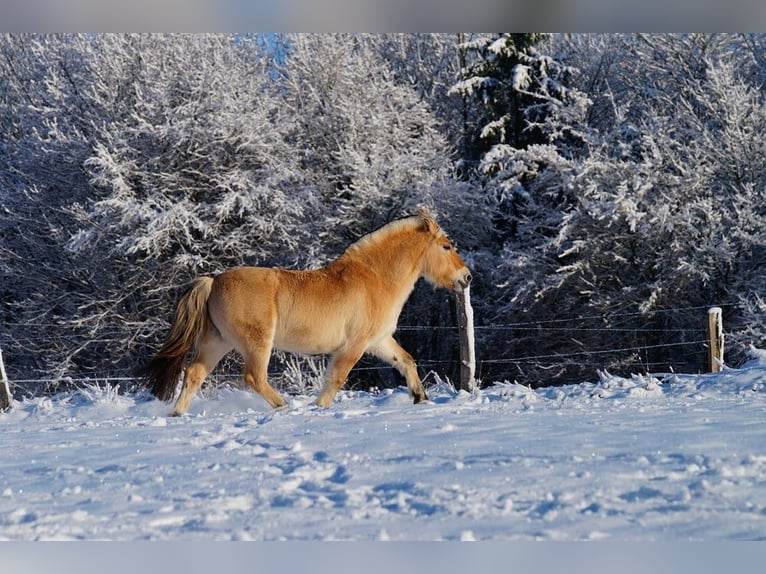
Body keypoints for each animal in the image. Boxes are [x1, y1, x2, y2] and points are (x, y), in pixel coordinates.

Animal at [139, 209, 472, 415]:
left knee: (194, 374)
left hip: (216, 342)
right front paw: (318, 407)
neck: (375, 278)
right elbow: (336, 379)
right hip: (255, 343)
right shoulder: (353, 347)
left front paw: (421, 398)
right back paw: (284, 406)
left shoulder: (379, 341)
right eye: (446, 246)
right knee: (254, 377)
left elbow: (406, 361)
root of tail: (214, 280)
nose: (466, 277)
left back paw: (177, 414)